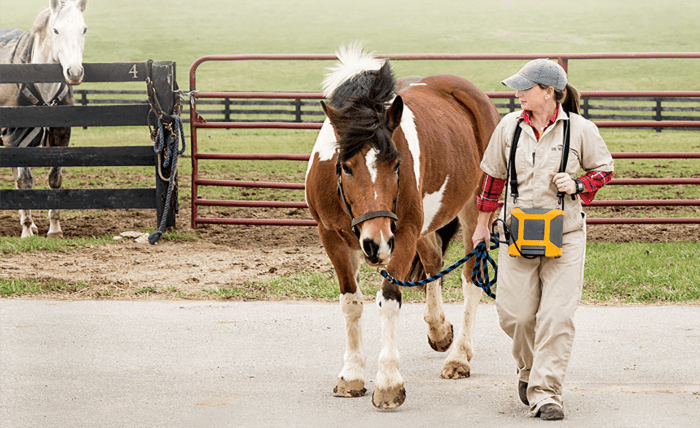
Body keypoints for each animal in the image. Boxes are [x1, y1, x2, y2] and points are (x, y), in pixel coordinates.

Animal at [0, 0, 89, 237]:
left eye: (84, 29)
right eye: (55, 30)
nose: (74, 72)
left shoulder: (60, 135)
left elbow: (54, 179)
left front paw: (54, 229)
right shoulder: (17, 139)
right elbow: (25, 181)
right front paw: (26, 231)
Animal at [304, 45, 500, 410]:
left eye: (396, 163)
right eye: (345, 167)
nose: (375, 243)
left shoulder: (404, 233)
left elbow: (389, 298)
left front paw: (388, 381)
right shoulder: (331, 237)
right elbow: (350, 303)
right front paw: (351, 375)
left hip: (474, 210)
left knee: (471, 280)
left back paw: (459, 357)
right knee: (434, 262)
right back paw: (439, 331)